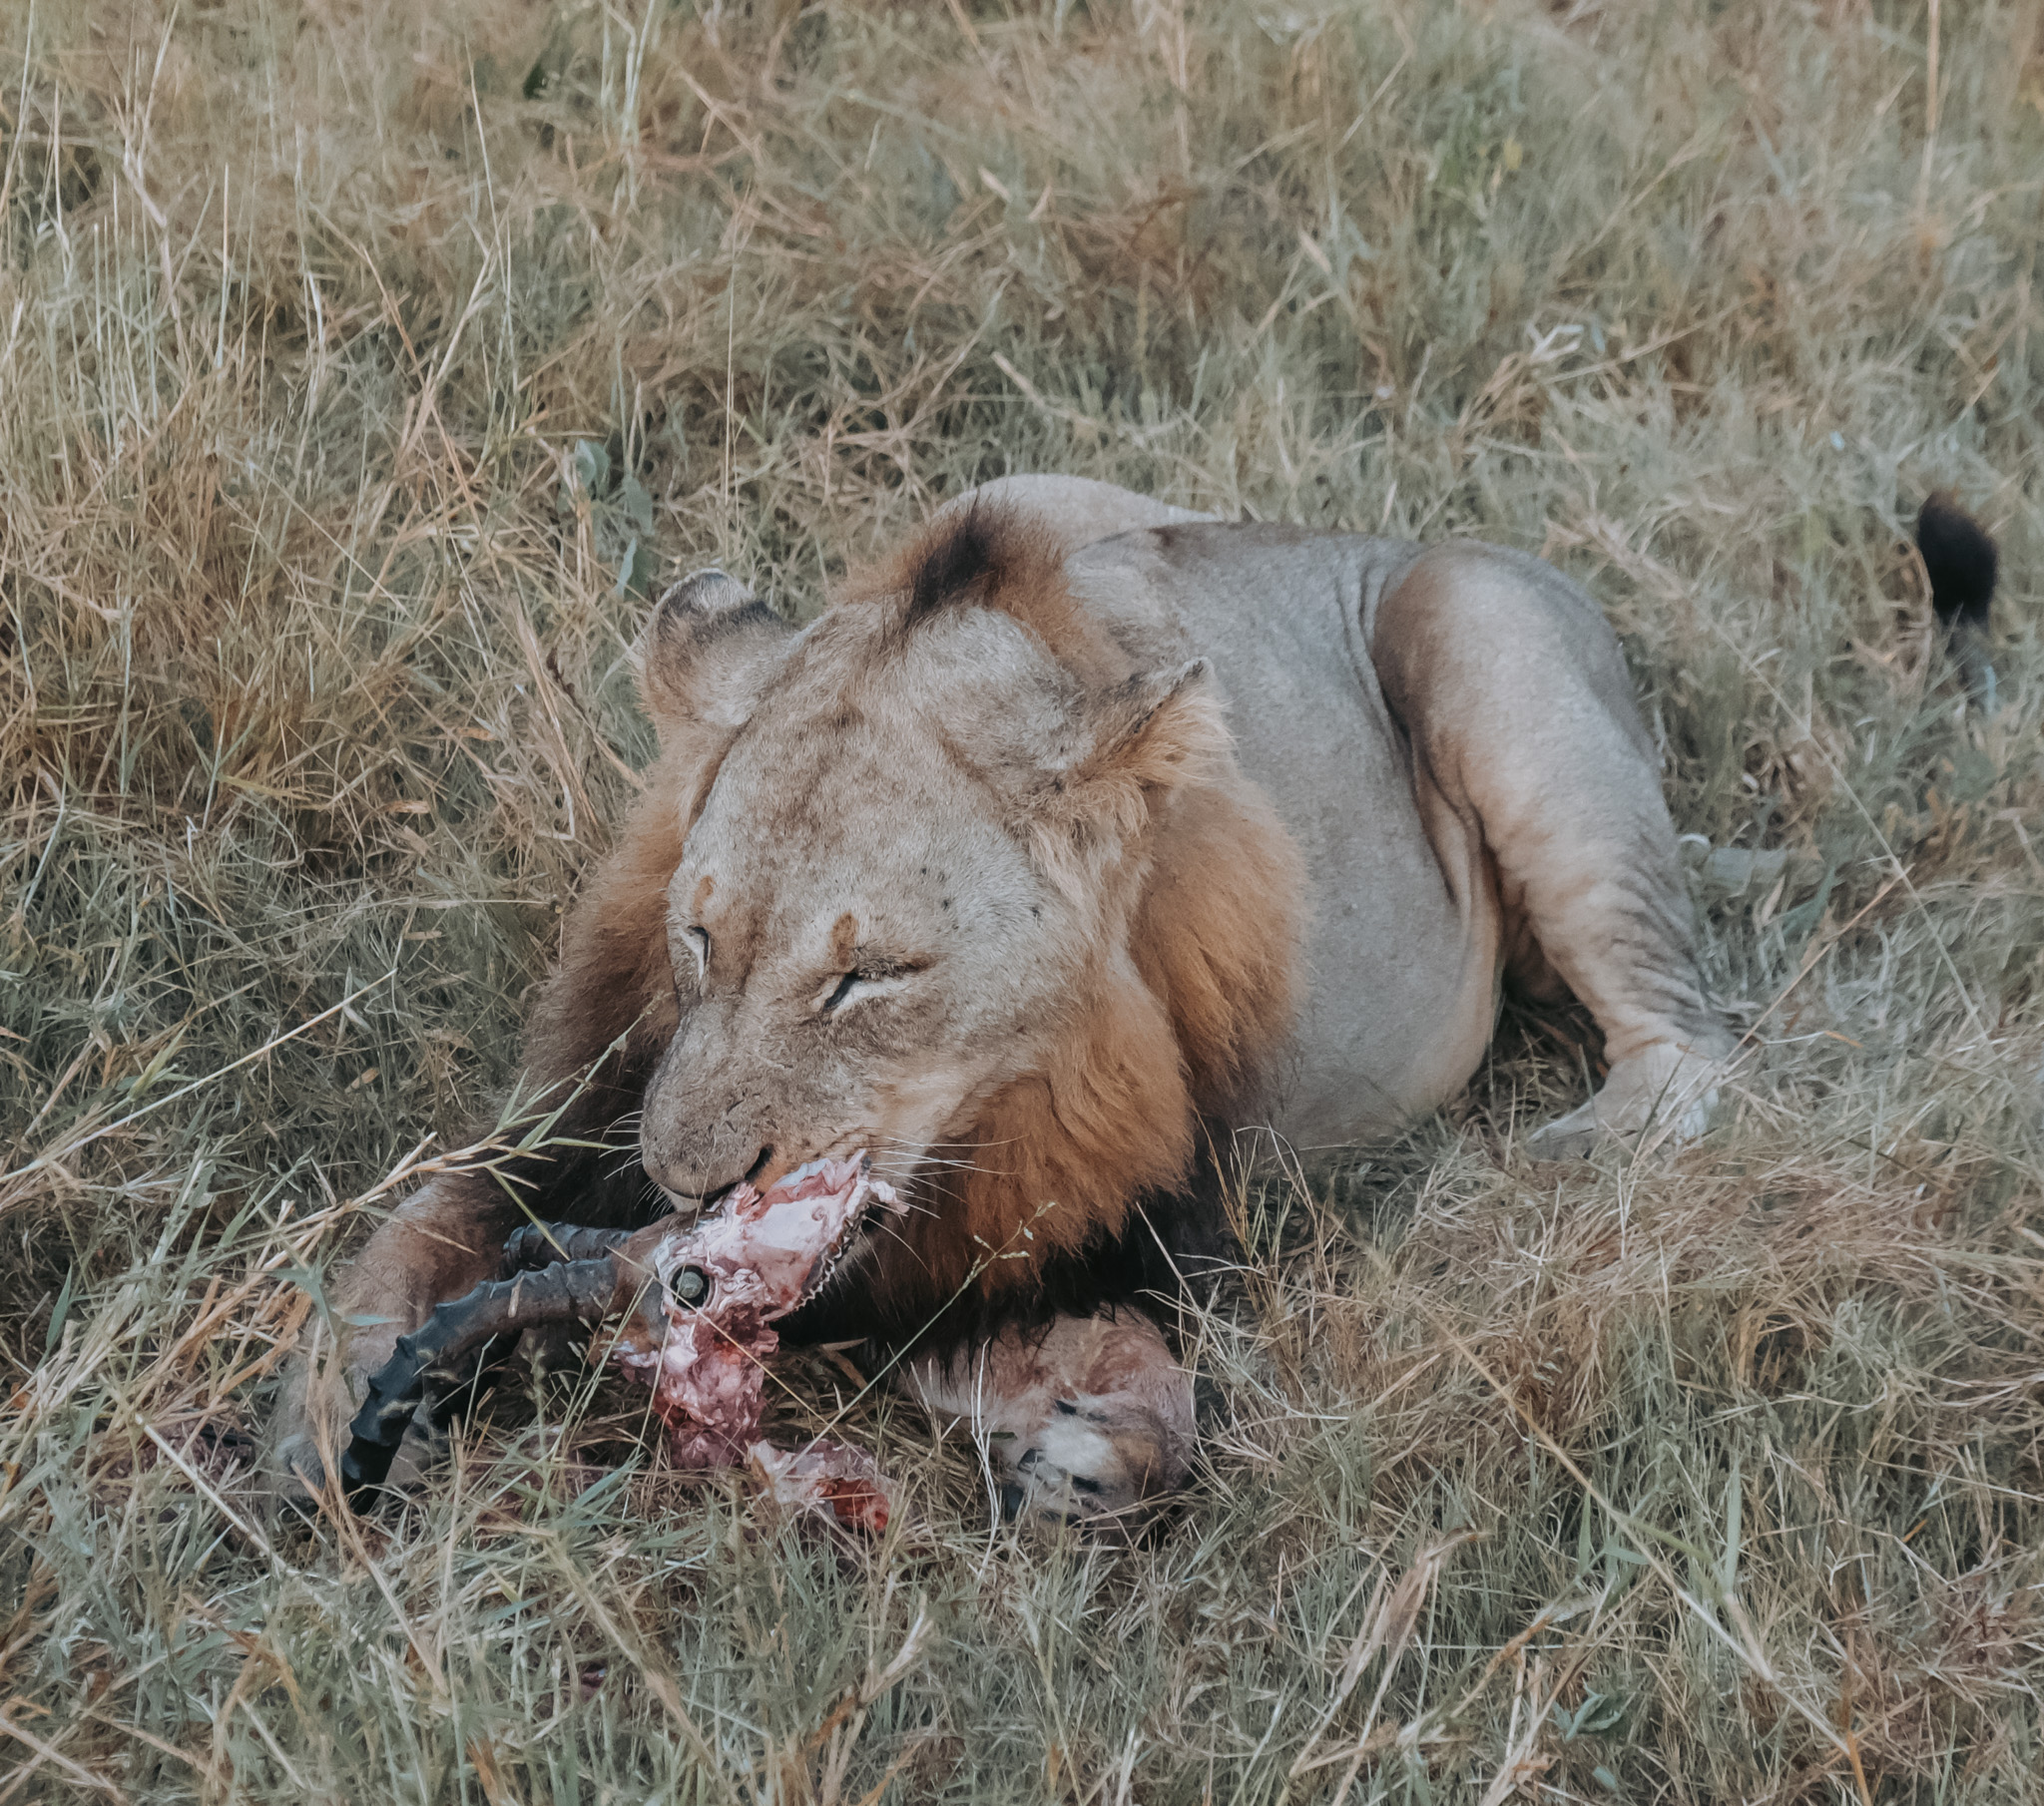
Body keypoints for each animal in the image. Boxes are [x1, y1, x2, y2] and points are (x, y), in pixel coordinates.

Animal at [263, 480, 1750, 1520]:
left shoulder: (1187, 1226)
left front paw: (1082, 1441)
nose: (687, 1189)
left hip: (1488, 645)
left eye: (866, 975)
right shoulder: (579, 1105)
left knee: (1691, 1054)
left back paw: (1560, 1157)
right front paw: (315, 1423)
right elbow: (420, 1220)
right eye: (698, 937)